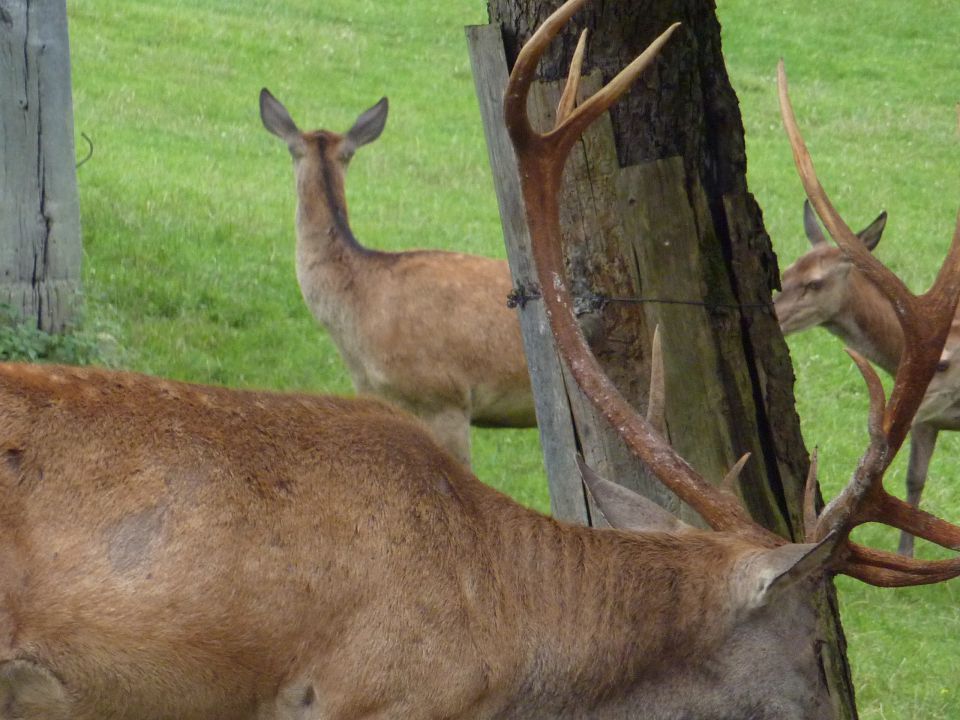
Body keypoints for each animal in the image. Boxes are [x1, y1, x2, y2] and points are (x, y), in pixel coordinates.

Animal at [776, 200, 960, 560]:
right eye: (784, 274)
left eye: (815, 283)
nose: (773, 314)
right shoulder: (925, 421)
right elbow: (915, 480)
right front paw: (906, 552)